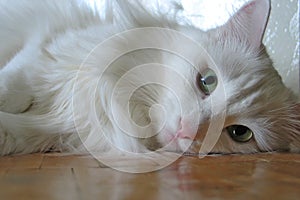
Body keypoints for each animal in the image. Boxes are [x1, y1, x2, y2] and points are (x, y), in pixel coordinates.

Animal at [0, 0, 298, 156]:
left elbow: (14, 131)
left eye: (240, 133)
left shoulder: (60, 130)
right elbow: (15, 82)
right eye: (207, 81)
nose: (187, 130)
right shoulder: (48, 41)